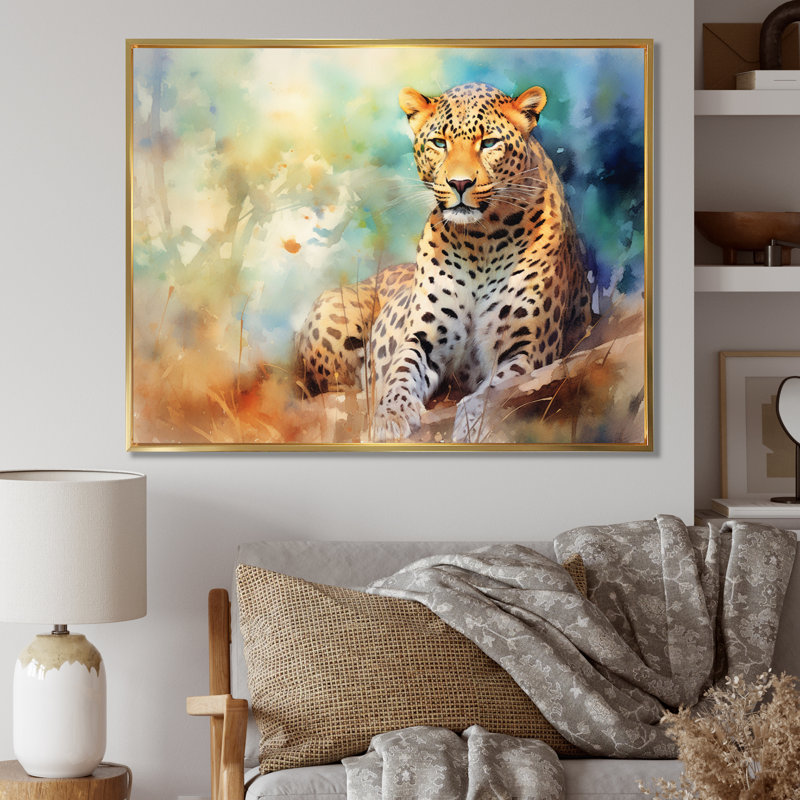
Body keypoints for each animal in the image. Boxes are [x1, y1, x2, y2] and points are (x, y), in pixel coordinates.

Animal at [295, 81, 592, 442]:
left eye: (489, 143)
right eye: (439, 143)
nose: (459, 183)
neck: (482, 239)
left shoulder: (529, 348)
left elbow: (496, 388)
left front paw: (474, 420)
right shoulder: (423, 338)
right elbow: (401, 371)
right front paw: (390, 416)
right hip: (333, 311)